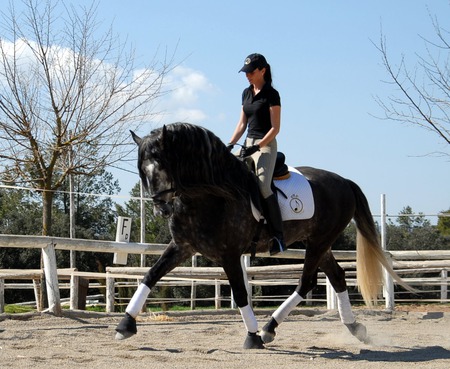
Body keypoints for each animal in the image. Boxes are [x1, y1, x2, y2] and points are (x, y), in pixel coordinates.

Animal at [114, 123, 410, 348]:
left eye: (164, 165)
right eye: (143, 171)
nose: (161, 209)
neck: (210, 195)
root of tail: (344, 182)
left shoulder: (229, 254)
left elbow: (240, 293)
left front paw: (252, 336)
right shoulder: (182, 247)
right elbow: (151, 275)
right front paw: (125, 324)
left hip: (319, 242)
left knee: (306, 282)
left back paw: (269, 328)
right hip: (318, 243)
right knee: (335, 276)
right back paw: (354, 327)